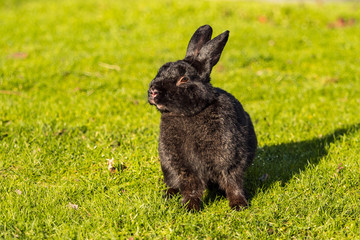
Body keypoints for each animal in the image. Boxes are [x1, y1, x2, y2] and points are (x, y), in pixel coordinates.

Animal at [148, 25, 258, 211]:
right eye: (159, 72)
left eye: (184, 79)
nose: (153, 92)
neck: (191, 113)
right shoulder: (183, 166)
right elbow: (191, 185)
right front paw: (190, 207)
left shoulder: (229, 160)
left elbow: (232, 182)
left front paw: (238, 205)